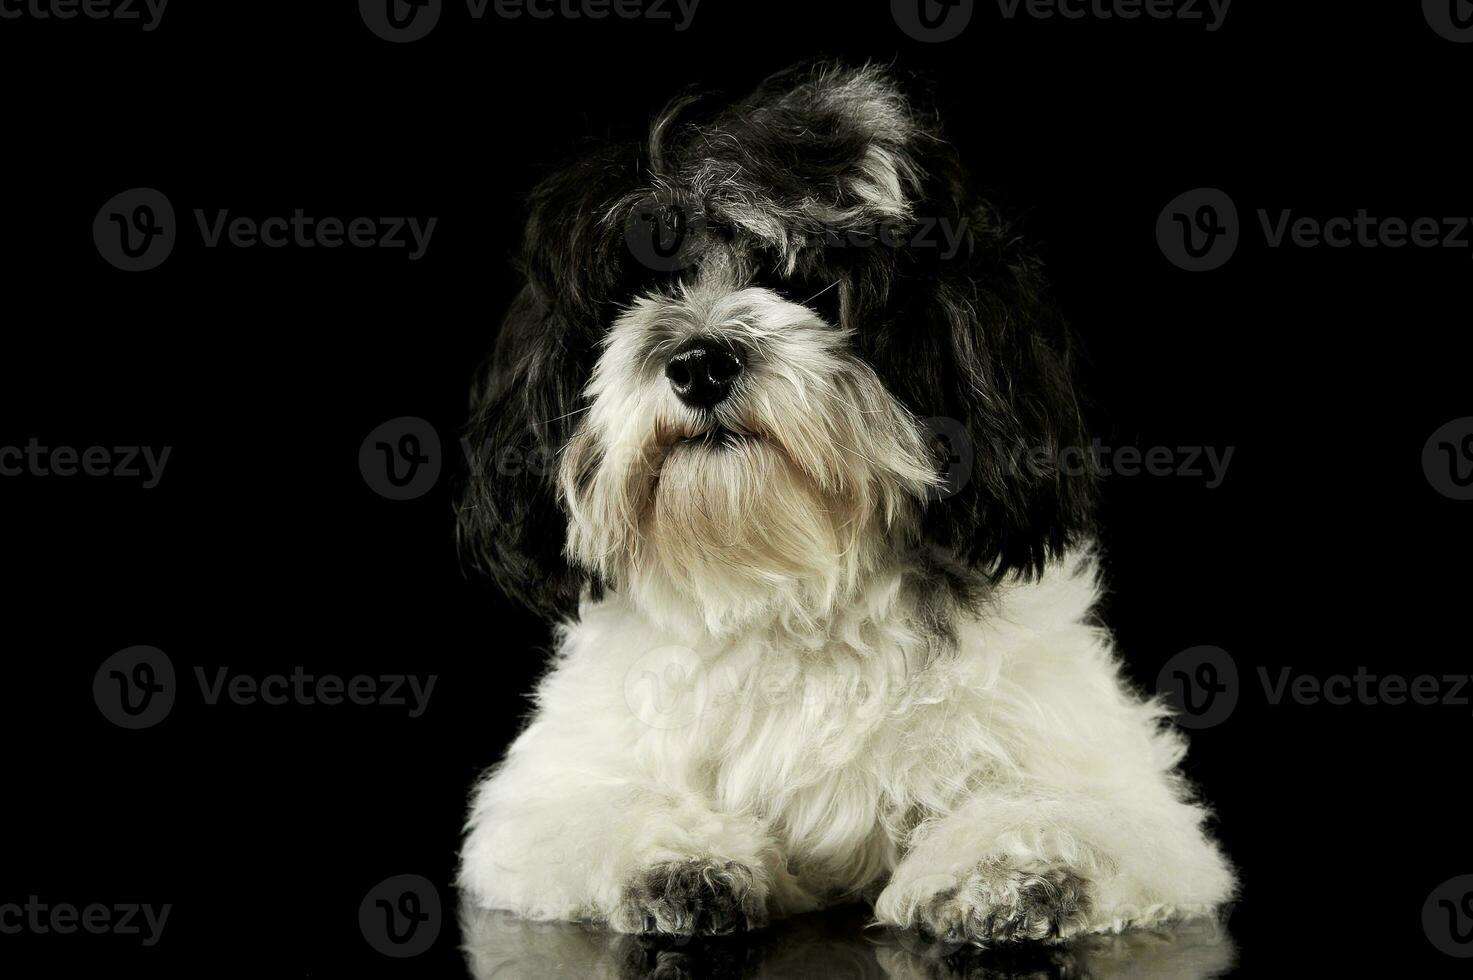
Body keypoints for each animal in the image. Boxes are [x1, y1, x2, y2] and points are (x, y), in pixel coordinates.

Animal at [453, 63, 1237, 949]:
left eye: (808, 283)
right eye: (642, 289)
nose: (700, 361)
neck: (789, 588)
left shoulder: (1116, 788)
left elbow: (1061, 815)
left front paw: (1008, 869)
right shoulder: (550, 790)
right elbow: (602, 809)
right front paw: (679, 860)